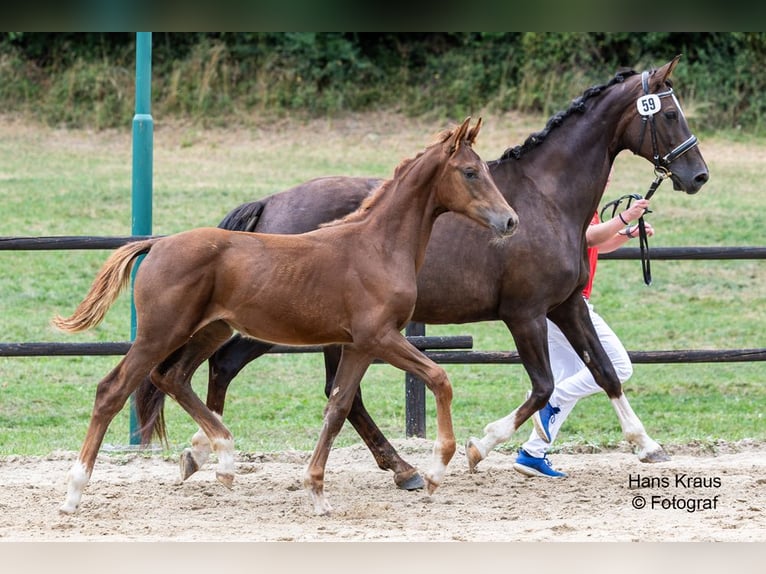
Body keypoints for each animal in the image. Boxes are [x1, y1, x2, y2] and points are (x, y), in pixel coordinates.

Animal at [53, 117, 519, 515]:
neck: (378, 246)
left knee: (173, 377)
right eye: (470, 172)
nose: (510, 220)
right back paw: (74, 493)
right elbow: (439, 378)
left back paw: (222, 458)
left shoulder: (357, 345)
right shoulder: (380, 337)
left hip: (210, 330)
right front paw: (436, 471)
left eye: (484, 169)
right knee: (113, 390)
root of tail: (157, 243)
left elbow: (338, 406)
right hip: (161, 332)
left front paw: (317, 490)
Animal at [139, 56, 710, 490]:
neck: (546, 196)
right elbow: (544, 385)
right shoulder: (524, 313)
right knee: (236, 368)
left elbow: (605, 370)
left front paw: (647, 446)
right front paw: (479, 446)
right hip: (288, 326)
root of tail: (270, 203)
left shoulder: (565, 305)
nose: (698, 175)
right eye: (670, 113)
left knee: (316, 390)